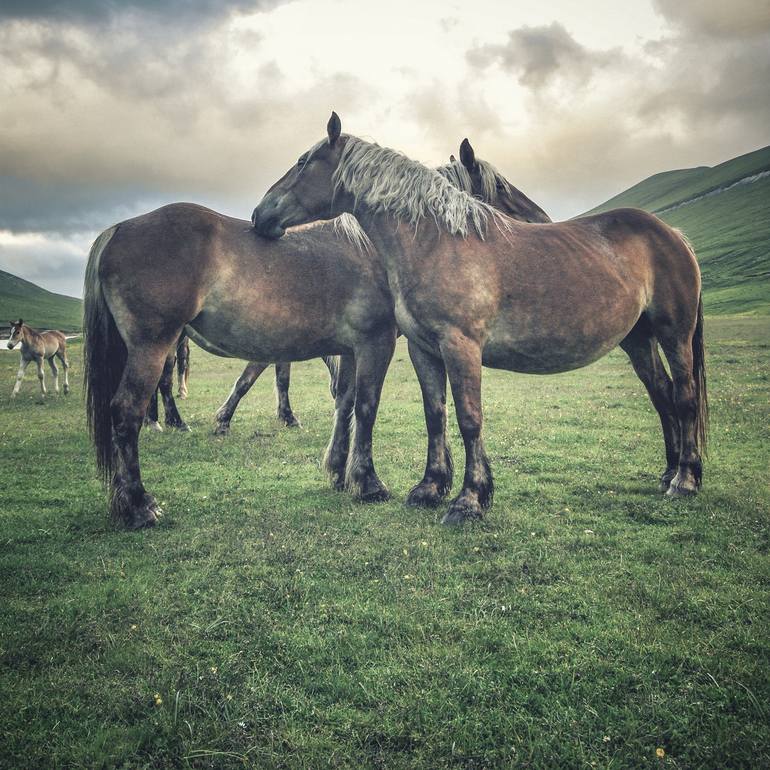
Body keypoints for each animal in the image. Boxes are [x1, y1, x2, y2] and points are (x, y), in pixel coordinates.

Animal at [85, 210, 396, 528]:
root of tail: (118, 229)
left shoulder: (350, 349)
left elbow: (344, 403)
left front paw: (338, 473)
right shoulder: (375, 341)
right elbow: (364, 407)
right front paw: (368, 483)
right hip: (154, 346)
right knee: (129, 409)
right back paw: (139, 504)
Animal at [250, 112, 704, 520]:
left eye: (302, 161)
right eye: (499, 186)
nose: (259, 215)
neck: (437, 243)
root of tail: (673, 235)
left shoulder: (461, 346)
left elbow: (469, 420)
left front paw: (469, 500)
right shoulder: (424, 350)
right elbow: (435, 415)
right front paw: (429, 488)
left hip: (674, 334)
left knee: (684, 396)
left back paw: (685, 480)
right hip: (638, 340)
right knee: (661, 393)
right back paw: (668, 472)